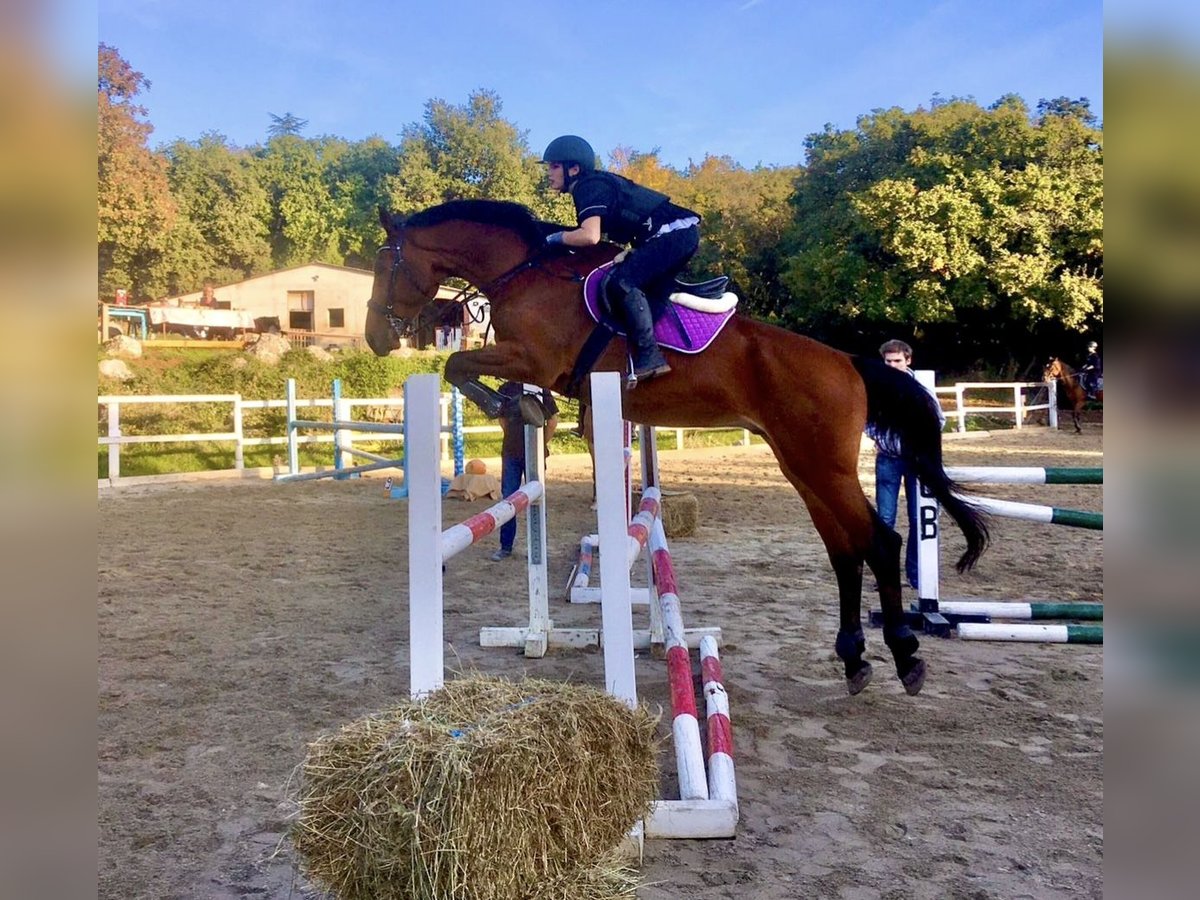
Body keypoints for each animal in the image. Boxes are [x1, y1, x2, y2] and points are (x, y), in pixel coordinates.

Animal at [367, 202, 993, 696]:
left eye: (384, 264)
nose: (375, 339)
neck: (524, 272)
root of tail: (849, 363)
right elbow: (463, 366)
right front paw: (523, 408)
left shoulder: (533, 359)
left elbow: (458, 362)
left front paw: (511, 406)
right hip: (803, 467)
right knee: (844, 551)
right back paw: (854, 658)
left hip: (824, 467)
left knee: (879, 544)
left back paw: (906, 656)